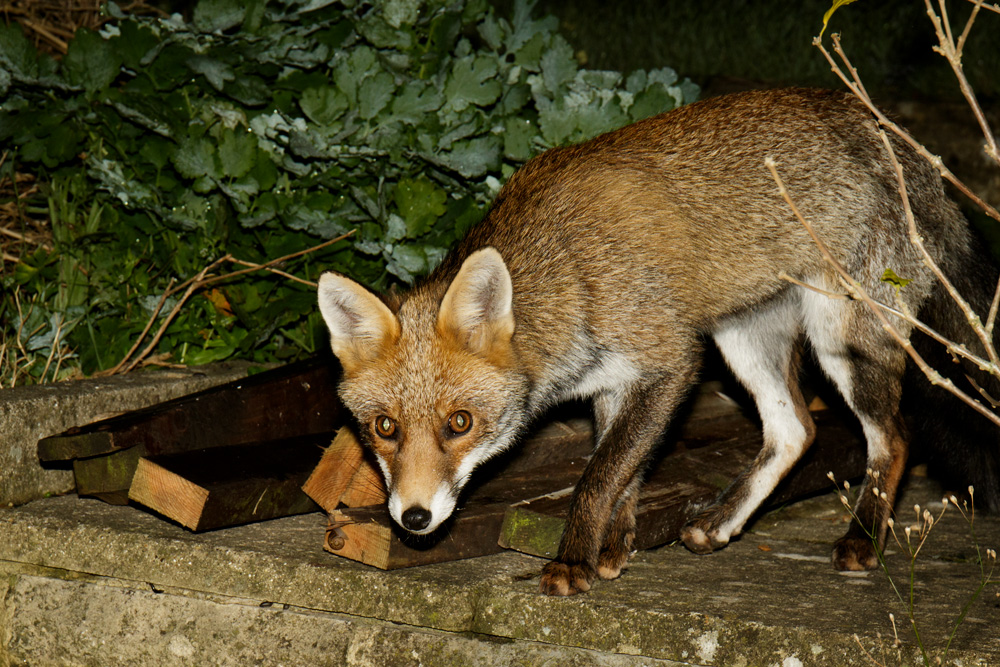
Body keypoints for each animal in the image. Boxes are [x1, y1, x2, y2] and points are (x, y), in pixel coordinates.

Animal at [316, 87, 1000, 596]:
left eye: (459, 423)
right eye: (383, 428)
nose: (412, 518)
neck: (574, 272)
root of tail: (895, 138)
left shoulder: (668, 363)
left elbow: (597, 476)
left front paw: (572, 562)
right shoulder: (616, 383)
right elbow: (626, 469)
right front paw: (614, 545)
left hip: (842, 338)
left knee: (894, 435)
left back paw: (863, 537)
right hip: (741, 338)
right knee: (795, 431)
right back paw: (721, 523)